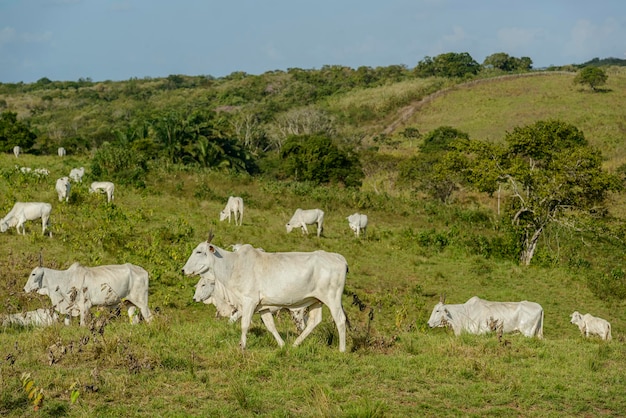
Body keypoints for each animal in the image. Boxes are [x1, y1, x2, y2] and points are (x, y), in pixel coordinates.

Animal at [24, 262, 152, 326]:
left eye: (34, 274)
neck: (66, 279)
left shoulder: (84, 306)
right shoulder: (69, 308)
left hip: (142, 302)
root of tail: (144, 271)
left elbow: (82, 325)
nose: (25, 288)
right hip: (129, 302)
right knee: (134, 320)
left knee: (149, 317)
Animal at [180, 237, 346, 352]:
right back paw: (295, 344)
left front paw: (242, 346)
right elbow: (270, 326)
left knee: (340, 320)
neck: (233, 266)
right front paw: (282, 345)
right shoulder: (263, 307)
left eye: (199, 251)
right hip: (315, 300)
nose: (183, 270)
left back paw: (342, 350)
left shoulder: (248, 301)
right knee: (314, 321)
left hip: (332, 299)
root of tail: (339, 257)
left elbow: (244, 324)